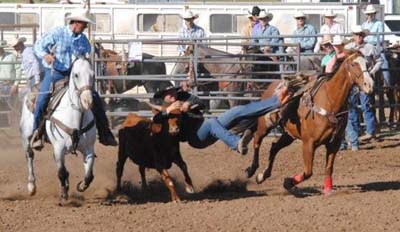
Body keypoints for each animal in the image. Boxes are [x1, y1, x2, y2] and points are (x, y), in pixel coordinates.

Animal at [20, 57, 97, 204]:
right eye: (76, 75)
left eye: (93, 75)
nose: (88, 101)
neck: (76, 117)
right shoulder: (58, 148)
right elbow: (61, 172)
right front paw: (63, 195)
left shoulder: (89, 149)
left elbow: (89, 174)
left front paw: (81, 185)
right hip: (26, 136)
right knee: (29, 155)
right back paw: (31, 186)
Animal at [245, 51, 374, 196]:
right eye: (353, 64)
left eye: (367, 63)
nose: (369, 85)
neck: (330, 101)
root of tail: (271, 86)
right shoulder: (309, 143)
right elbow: (308, 172)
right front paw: (288, 182)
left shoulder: (334, 143)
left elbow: (328, 168)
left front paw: (328, 190)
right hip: (265, 125)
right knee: (257, 140)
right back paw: (251, 170)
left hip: (289, 134)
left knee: (274, 147)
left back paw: (262, 176)